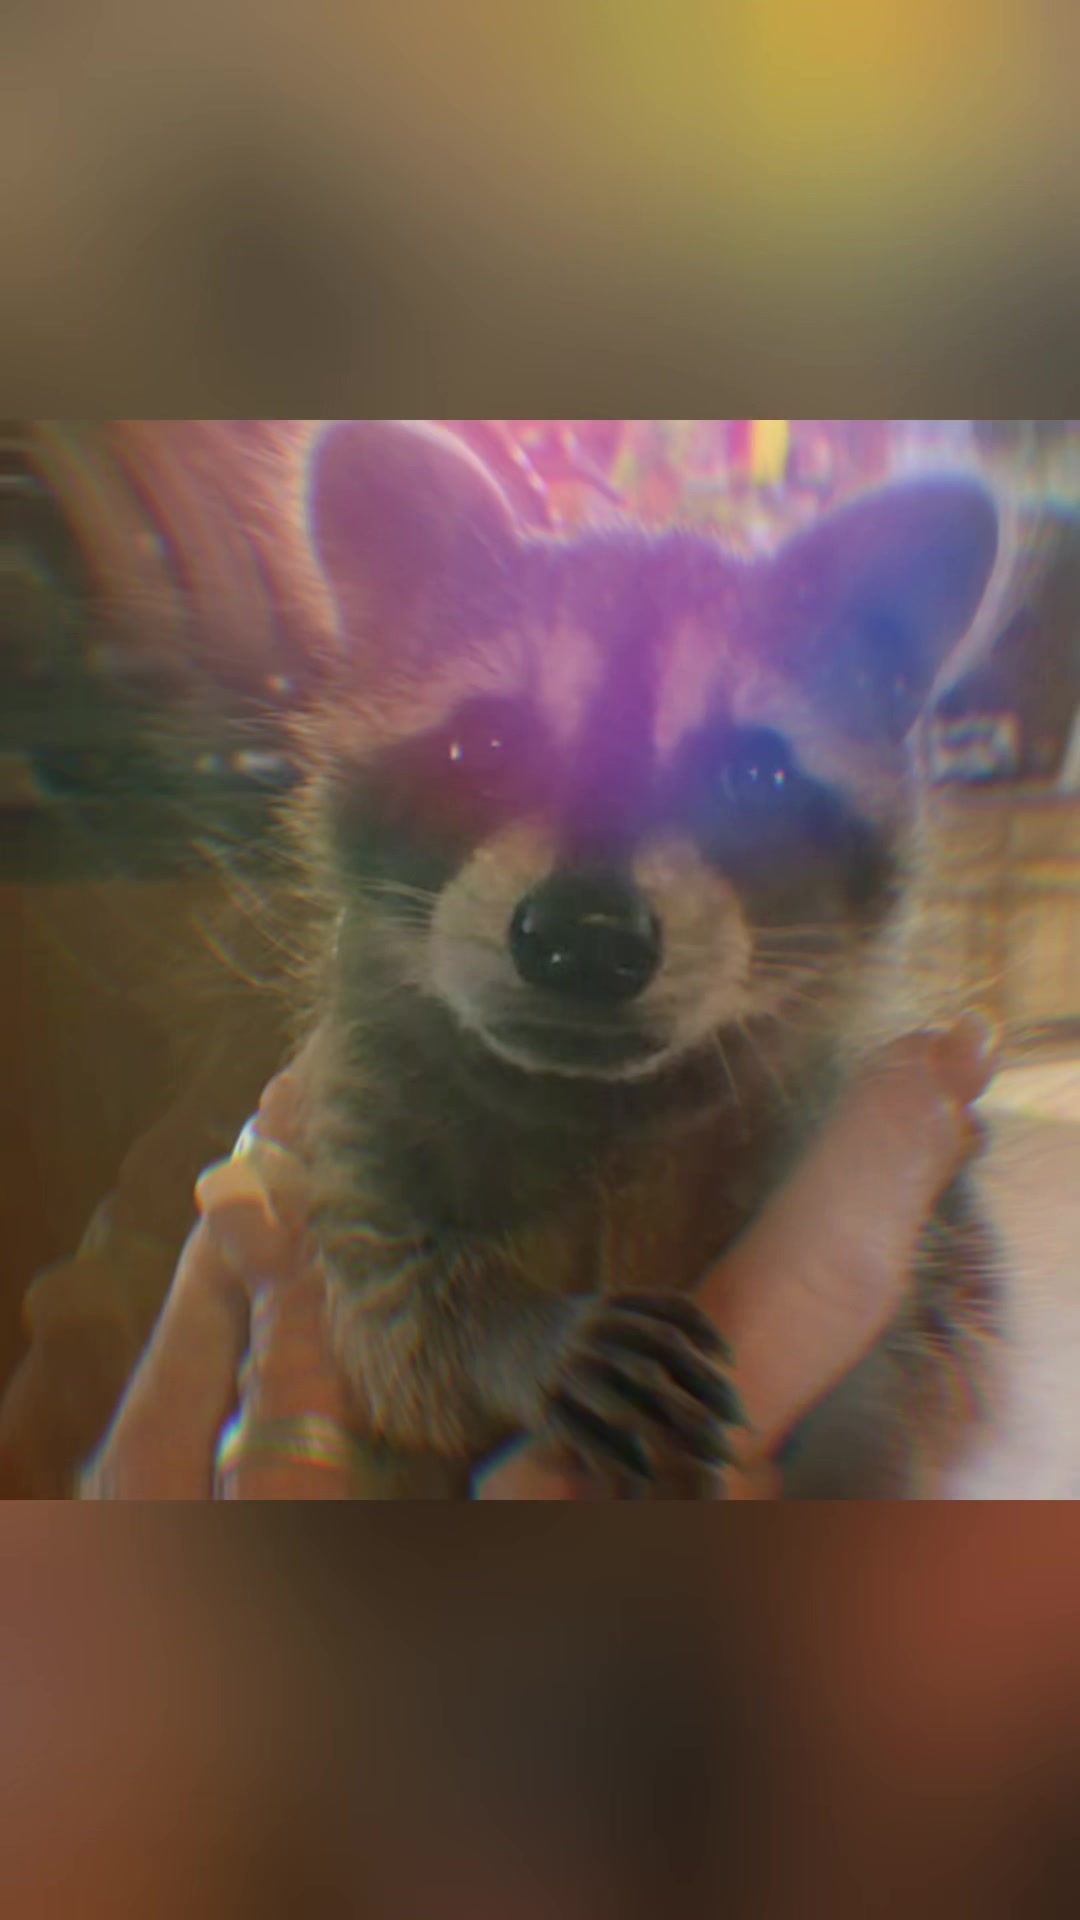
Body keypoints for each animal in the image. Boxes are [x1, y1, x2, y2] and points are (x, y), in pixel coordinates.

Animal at [284, 421, 1003, 1499]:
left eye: (752, 777)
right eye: (487, 747)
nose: (586, 936)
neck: (604, 1104)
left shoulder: (902, 1158)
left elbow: (942, 1339)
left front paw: (861, 1426)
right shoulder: (360, 1122)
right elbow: (392, 1319)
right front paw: (513, 1331)